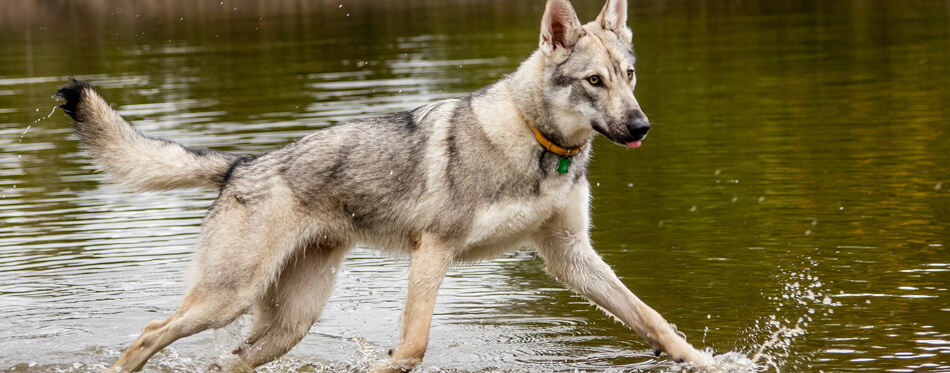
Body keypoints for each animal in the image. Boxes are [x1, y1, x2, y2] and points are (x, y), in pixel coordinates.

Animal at [55, 1, 712, 370]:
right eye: (594, 81)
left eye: (630, 75)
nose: (641, 127)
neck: (539, 147)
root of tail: (242, 162)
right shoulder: (433, 252)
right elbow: (412, 348)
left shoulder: (570, 257)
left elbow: (654, 318)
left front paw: (703, 359)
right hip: (227, 301)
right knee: (148, 336)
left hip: (286, 325)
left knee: (228, 360)